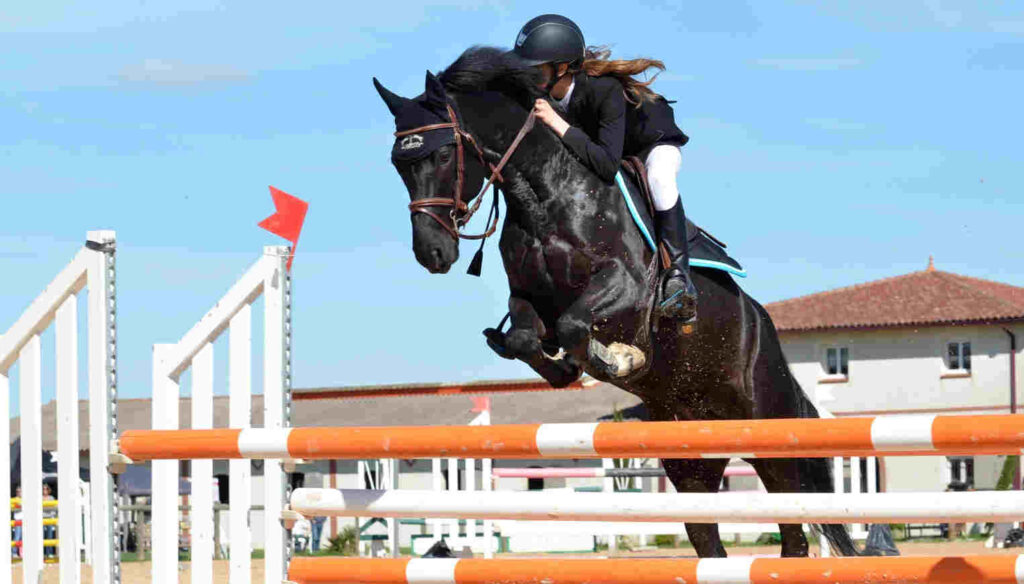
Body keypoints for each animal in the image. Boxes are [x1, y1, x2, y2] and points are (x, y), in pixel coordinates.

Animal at [374, 45, 856, 553]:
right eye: (398, 164)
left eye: (446, 152)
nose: (432, 253)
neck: (544, 195)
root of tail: (764, 326)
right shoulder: (528, 298)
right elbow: (529, 338)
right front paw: (567, 367)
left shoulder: (626, 286)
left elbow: (576, 325)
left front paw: (621, 358)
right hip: (691, 457)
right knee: (708, 539)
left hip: (769, 431)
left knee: (794, 529)